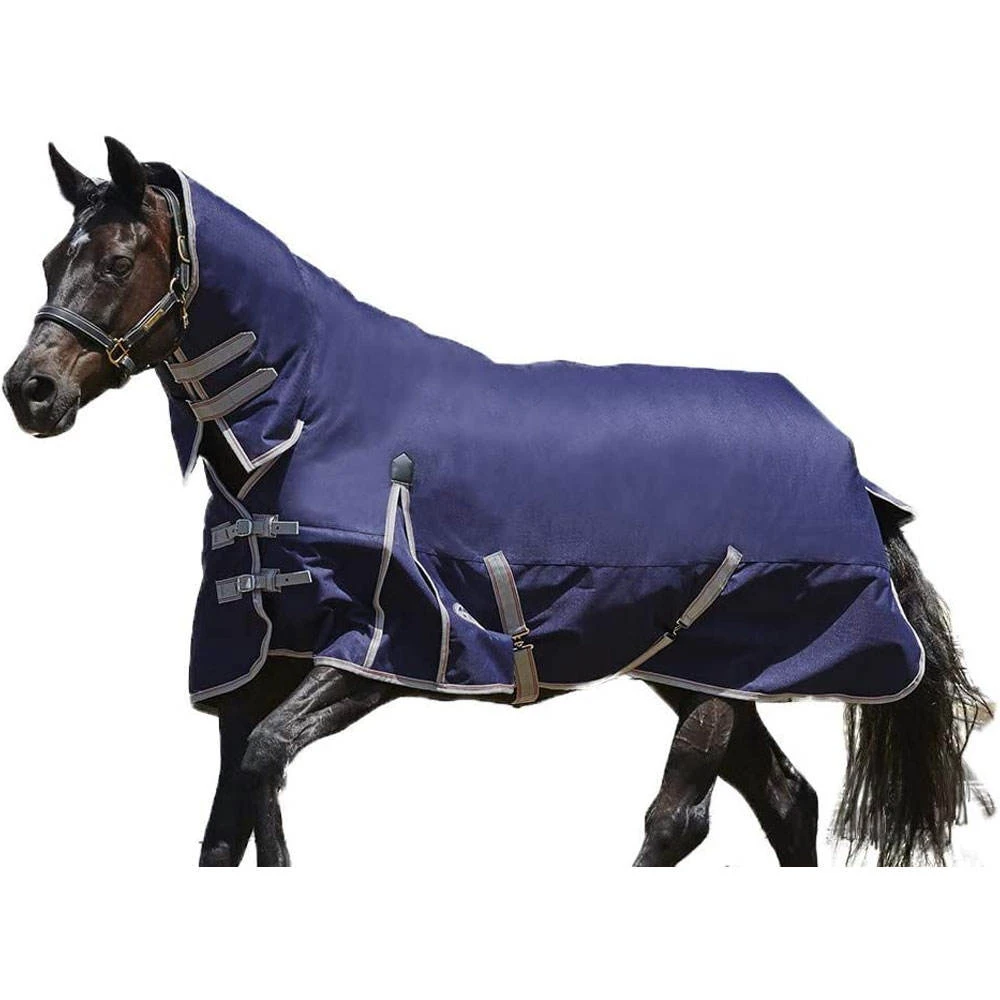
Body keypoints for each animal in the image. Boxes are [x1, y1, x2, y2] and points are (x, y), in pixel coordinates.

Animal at [3, 138, 991, 866]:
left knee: (680, 819)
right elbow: (228, 820)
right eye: (52, 258)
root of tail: (849, 461)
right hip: (703, 670)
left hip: (730, 662)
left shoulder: (383, 651)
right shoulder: (257, 661)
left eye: (118, 261)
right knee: (787, 804)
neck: (310, 418)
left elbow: (263, 767)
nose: (31, 391)